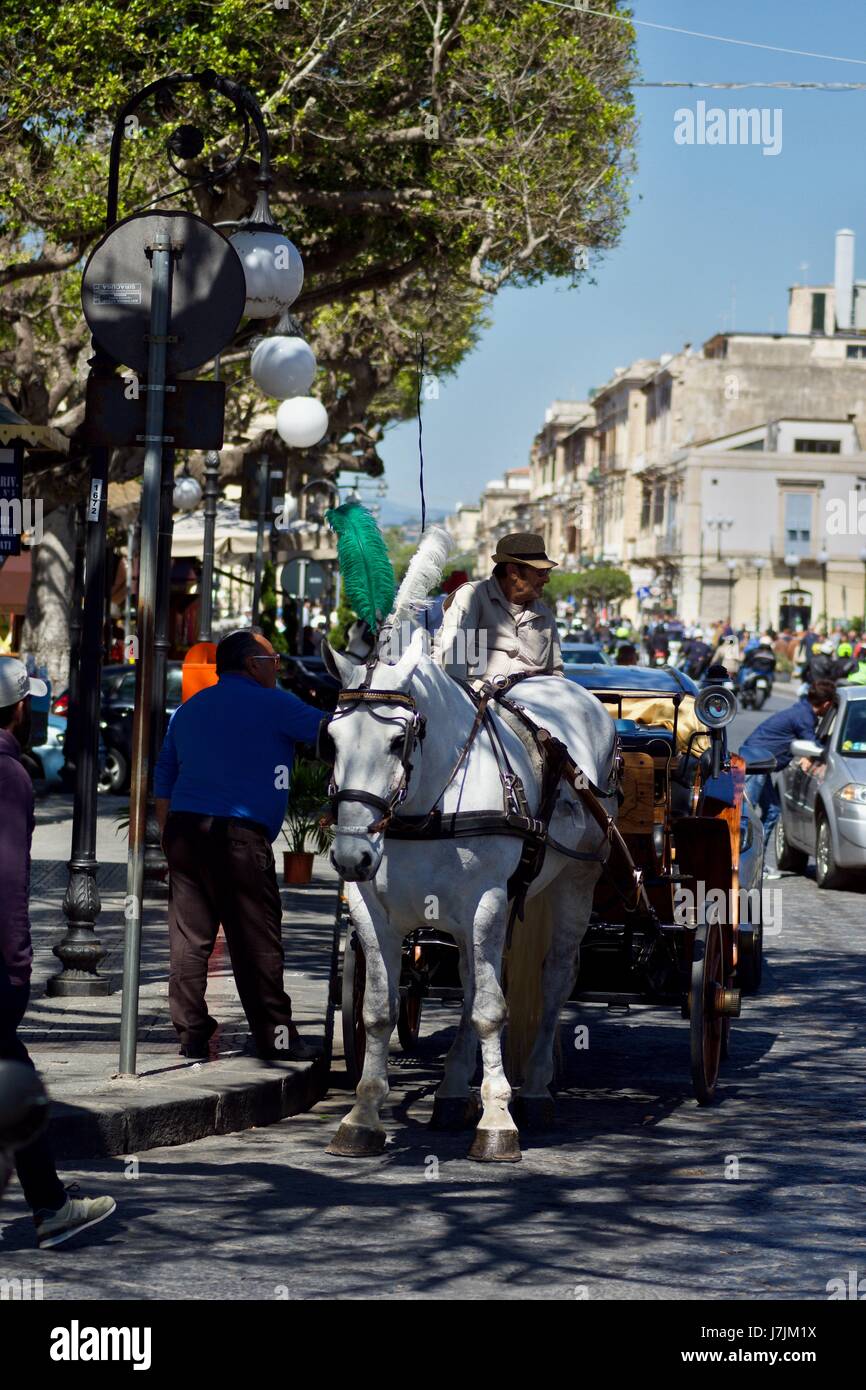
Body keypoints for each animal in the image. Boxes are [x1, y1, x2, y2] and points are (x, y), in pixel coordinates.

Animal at [323, 631, 617, 1162]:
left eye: (398, 741)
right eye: (331, 739)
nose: (352, 855)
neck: (427, 806)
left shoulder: (486, 903)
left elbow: (490, 1011)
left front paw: (497, 1121)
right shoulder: (372, 912)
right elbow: (379, 1010)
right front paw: (362, 1116)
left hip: (575, 883)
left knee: (555, 979)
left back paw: (535, 1090)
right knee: (471, 980)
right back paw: (454, 1090)